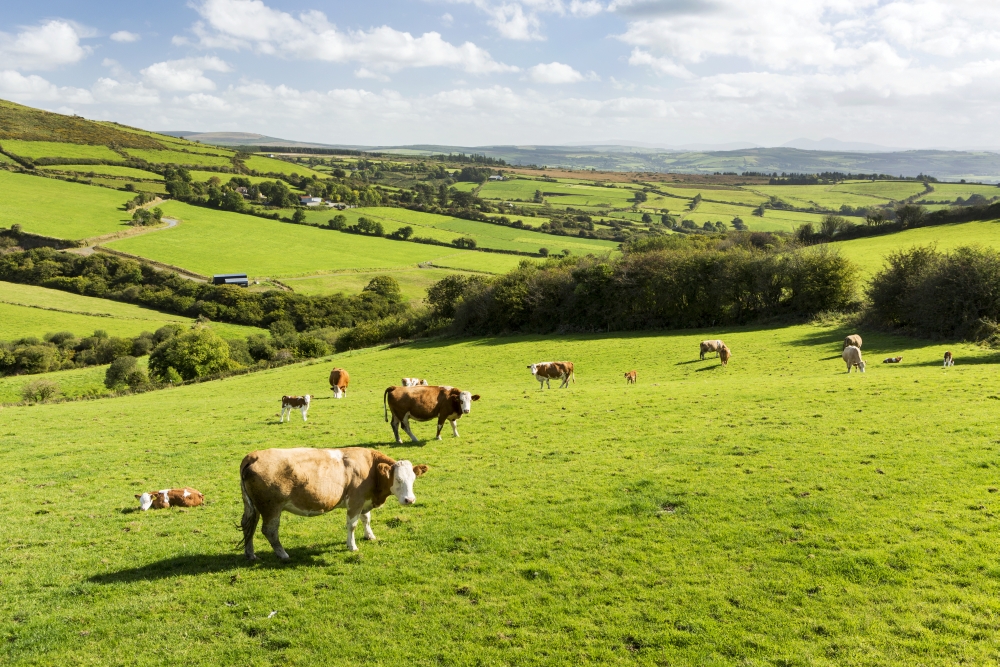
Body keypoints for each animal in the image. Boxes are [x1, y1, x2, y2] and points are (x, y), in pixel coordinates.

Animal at [239, 447, 428, 559]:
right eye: (398, 479)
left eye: (413, 479)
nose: (410, 500)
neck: (371, 467)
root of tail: (253, 456)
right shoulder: (355, 501)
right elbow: (352, 525)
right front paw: (352, 546)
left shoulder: (364, 500)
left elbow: (366, 518)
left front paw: (369, 535)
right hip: (271, 508)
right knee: (269, 530)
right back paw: (283, 554)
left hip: (253, 506)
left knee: (249, 525)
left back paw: (250, 554)